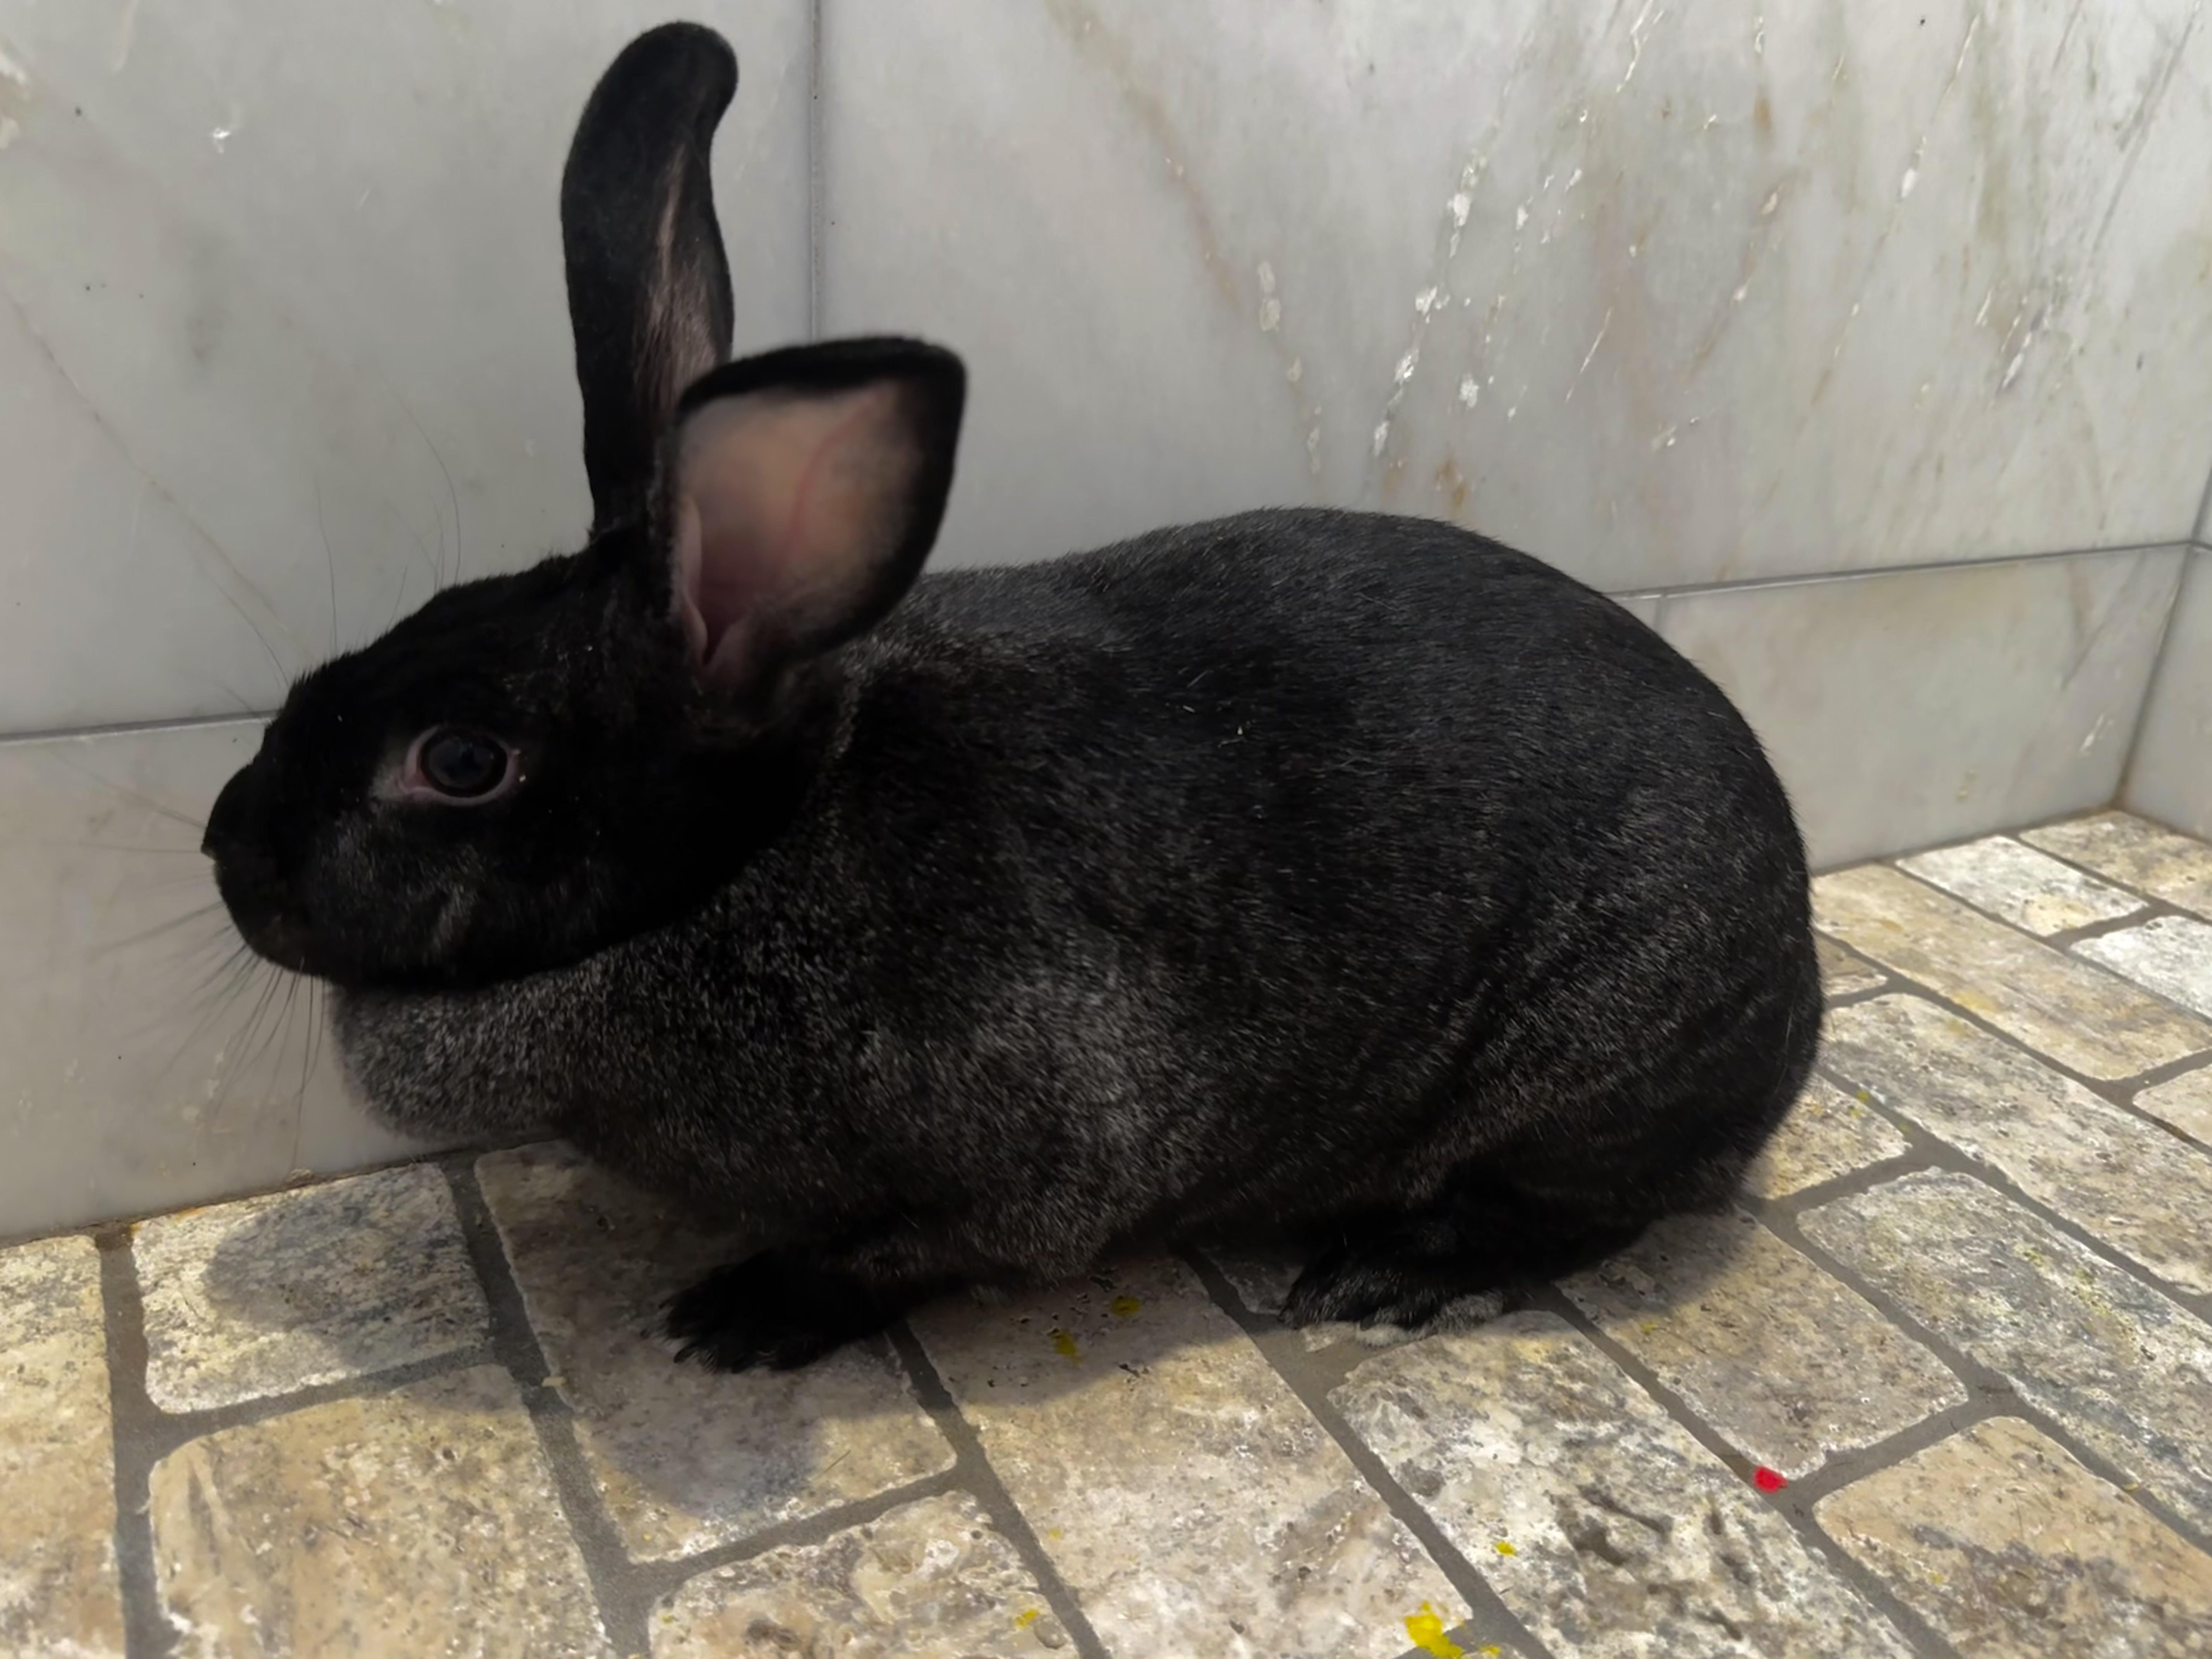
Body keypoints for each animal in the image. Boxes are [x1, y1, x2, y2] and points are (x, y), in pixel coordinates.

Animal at [202, 21, 1822, 1371]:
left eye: (461, 758)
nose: (225, 850)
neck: (764, 855)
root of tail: (1798, 979)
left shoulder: (1050, 1158)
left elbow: (922, 1247)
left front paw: (741, 1316)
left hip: (1592, 1069)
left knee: (1584, 1209)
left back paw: (1390, 1271)